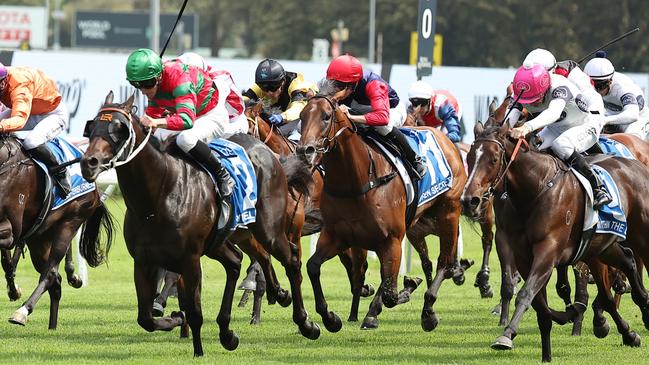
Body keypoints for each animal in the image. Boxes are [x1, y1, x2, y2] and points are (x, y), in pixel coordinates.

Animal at [0, 134, 113, 328]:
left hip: (69, 224)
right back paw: (52, 327)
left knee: (50, 273)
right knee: (56, 282)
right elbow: (7, 262)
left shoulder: (12, 228)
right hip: (39, 239)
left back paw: (22, 312)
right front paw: (13, 290)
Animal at [79, 91, 318, 356]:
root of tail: (267, 152)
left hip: (269, 230)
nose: (89, 162)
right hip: (230, 237)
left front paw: (198, 351)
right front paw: (175, 319)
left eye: (119, 129)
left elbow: (194, 312)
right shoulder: (143, 261)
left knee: (291, 259)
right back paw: (237, 325)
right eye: (91, 127)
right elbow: (146, 318)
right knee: (239, 261)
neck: (158, 195)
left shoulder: (190, 260)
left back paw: (308, 323)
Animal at [294, 86, 466, 332]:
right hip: (417, 226)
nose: (304, 150)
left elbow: (390, 292)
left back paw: (428, 311)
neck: (356, 183)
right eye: (301, 116)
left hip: (449, 213)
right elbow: (313, 267)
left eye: (326, 116)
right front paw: (330, 317)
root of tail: (446, 139)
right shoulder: (337, 236)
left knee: (445, 262)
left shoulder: (391, 240)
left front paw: (406, 289)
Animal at [464, 121, 649, 360]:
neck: (535, 189)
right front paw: (551, 344)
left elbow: (526, 294)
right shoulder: (522, 254)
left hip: (640, 234)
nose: (469, 201)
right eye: (469, 157)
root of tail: (636, 164)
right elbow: (539, 304)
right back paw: (630, 330)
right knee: (626, 265)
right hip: (600, 247)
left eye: (494, 159)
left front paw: (506, 336)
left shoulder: (548, 250)